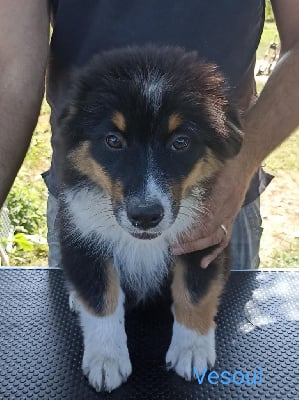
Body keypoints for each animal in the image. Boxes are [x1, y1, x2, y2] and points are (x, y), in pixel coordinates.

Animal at [56, 46, 244, 390]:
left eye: (180, 142)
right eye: (113, 141)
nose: (145, 216)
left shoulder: (204, 239)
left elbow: (194, 293)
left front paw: (192, 350)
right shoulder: (83, 237)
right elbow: (102, 300)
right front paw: (106, 360)